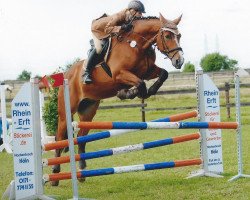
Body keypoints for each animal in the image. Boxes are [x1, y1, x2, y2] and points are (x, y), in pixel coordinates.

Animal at [51, 12, 184, 186]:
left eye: (179, 36)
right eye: (167, 36)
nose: (179, 61)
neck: (137, 44)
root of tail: (66, 74)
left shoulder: (147, 71)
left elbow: (163, 74)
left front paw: (146, 91)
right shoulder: (120, 74)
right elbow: (140, 84)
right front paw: (128, 93)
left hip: (88, 110)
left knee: (81, 137)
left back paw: (82, 171)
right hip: (66, 112)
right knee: (59, 137)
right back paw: (55, 174)